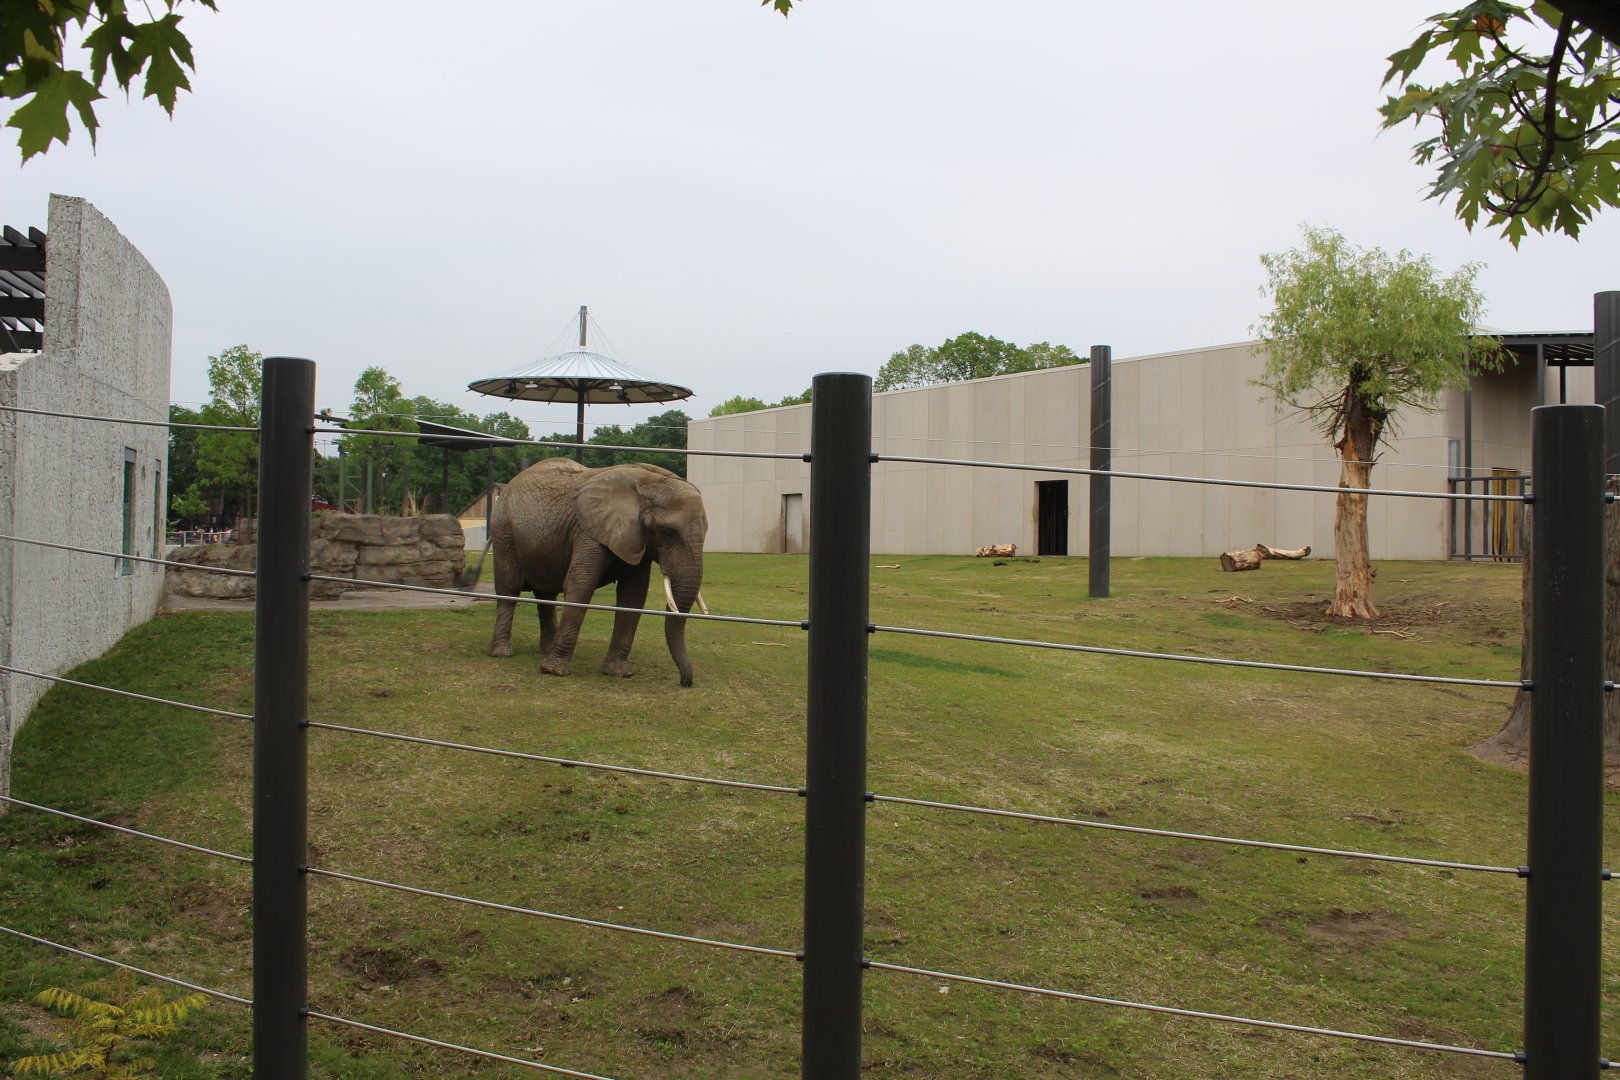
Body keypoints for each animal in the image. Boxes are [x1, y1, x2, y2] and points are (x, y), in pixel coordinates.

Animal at [487, 457, 708, 686]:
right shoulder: (589, 532)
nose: (685, 682)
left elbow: (633, 596)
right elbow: (580, 586)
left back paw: (546, 649)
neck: (648, 484)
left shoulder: (636, 537)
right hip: (503, 531)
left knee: (546, 594)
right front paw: (554, 671)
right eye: (667, 532)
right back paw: (502, 653)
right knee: (509, 589)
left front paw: (618, 673)